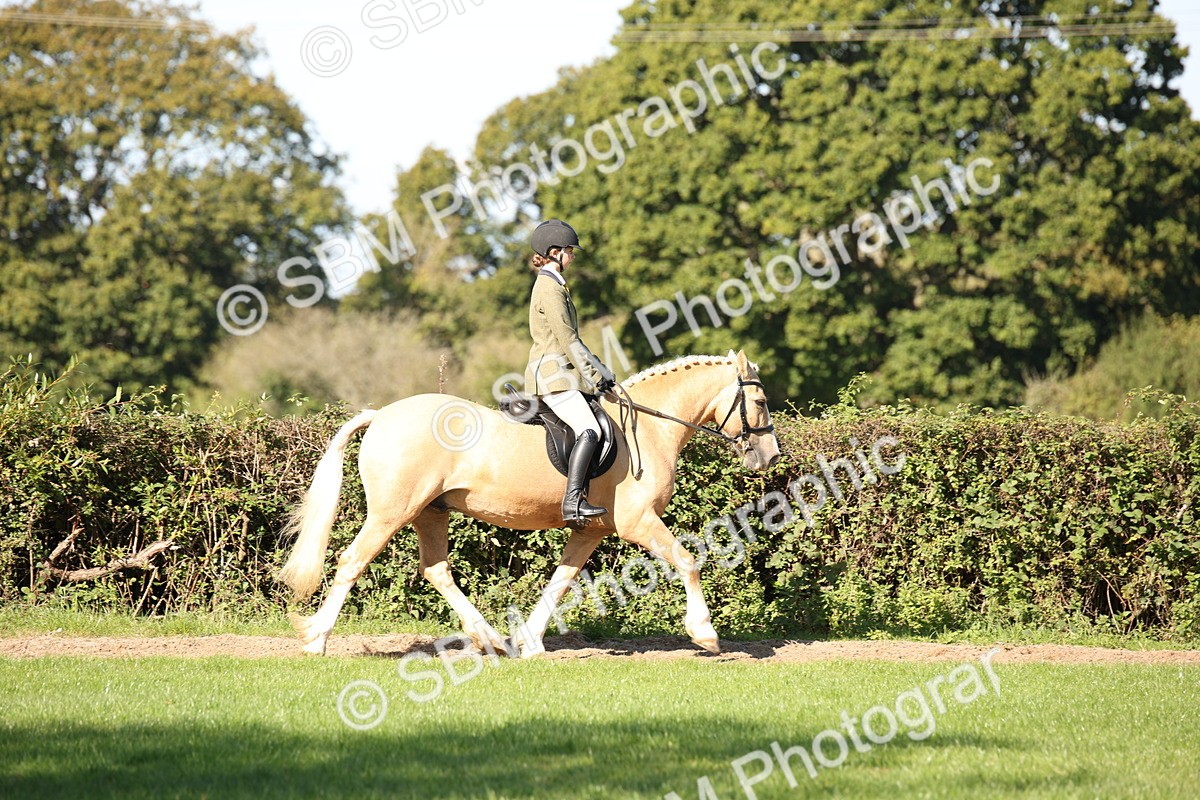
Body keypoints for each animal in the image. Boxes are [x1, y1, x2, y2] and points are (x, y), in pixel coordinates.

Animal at [279, 350, 781, 657]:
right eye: (759, 400)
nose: (771, 456)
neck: (650, 427)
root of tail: (381, 415)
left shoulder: (591, 529)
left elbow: (561, 582)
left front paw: (530, 641)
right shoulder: (638, 522)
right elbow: (687, 560)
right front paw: (706, 634)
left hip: (430, 512)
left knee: (436, 571)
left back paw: (492, 639)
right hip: (391, 513)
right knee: (352, 561)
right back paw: (316, 641)